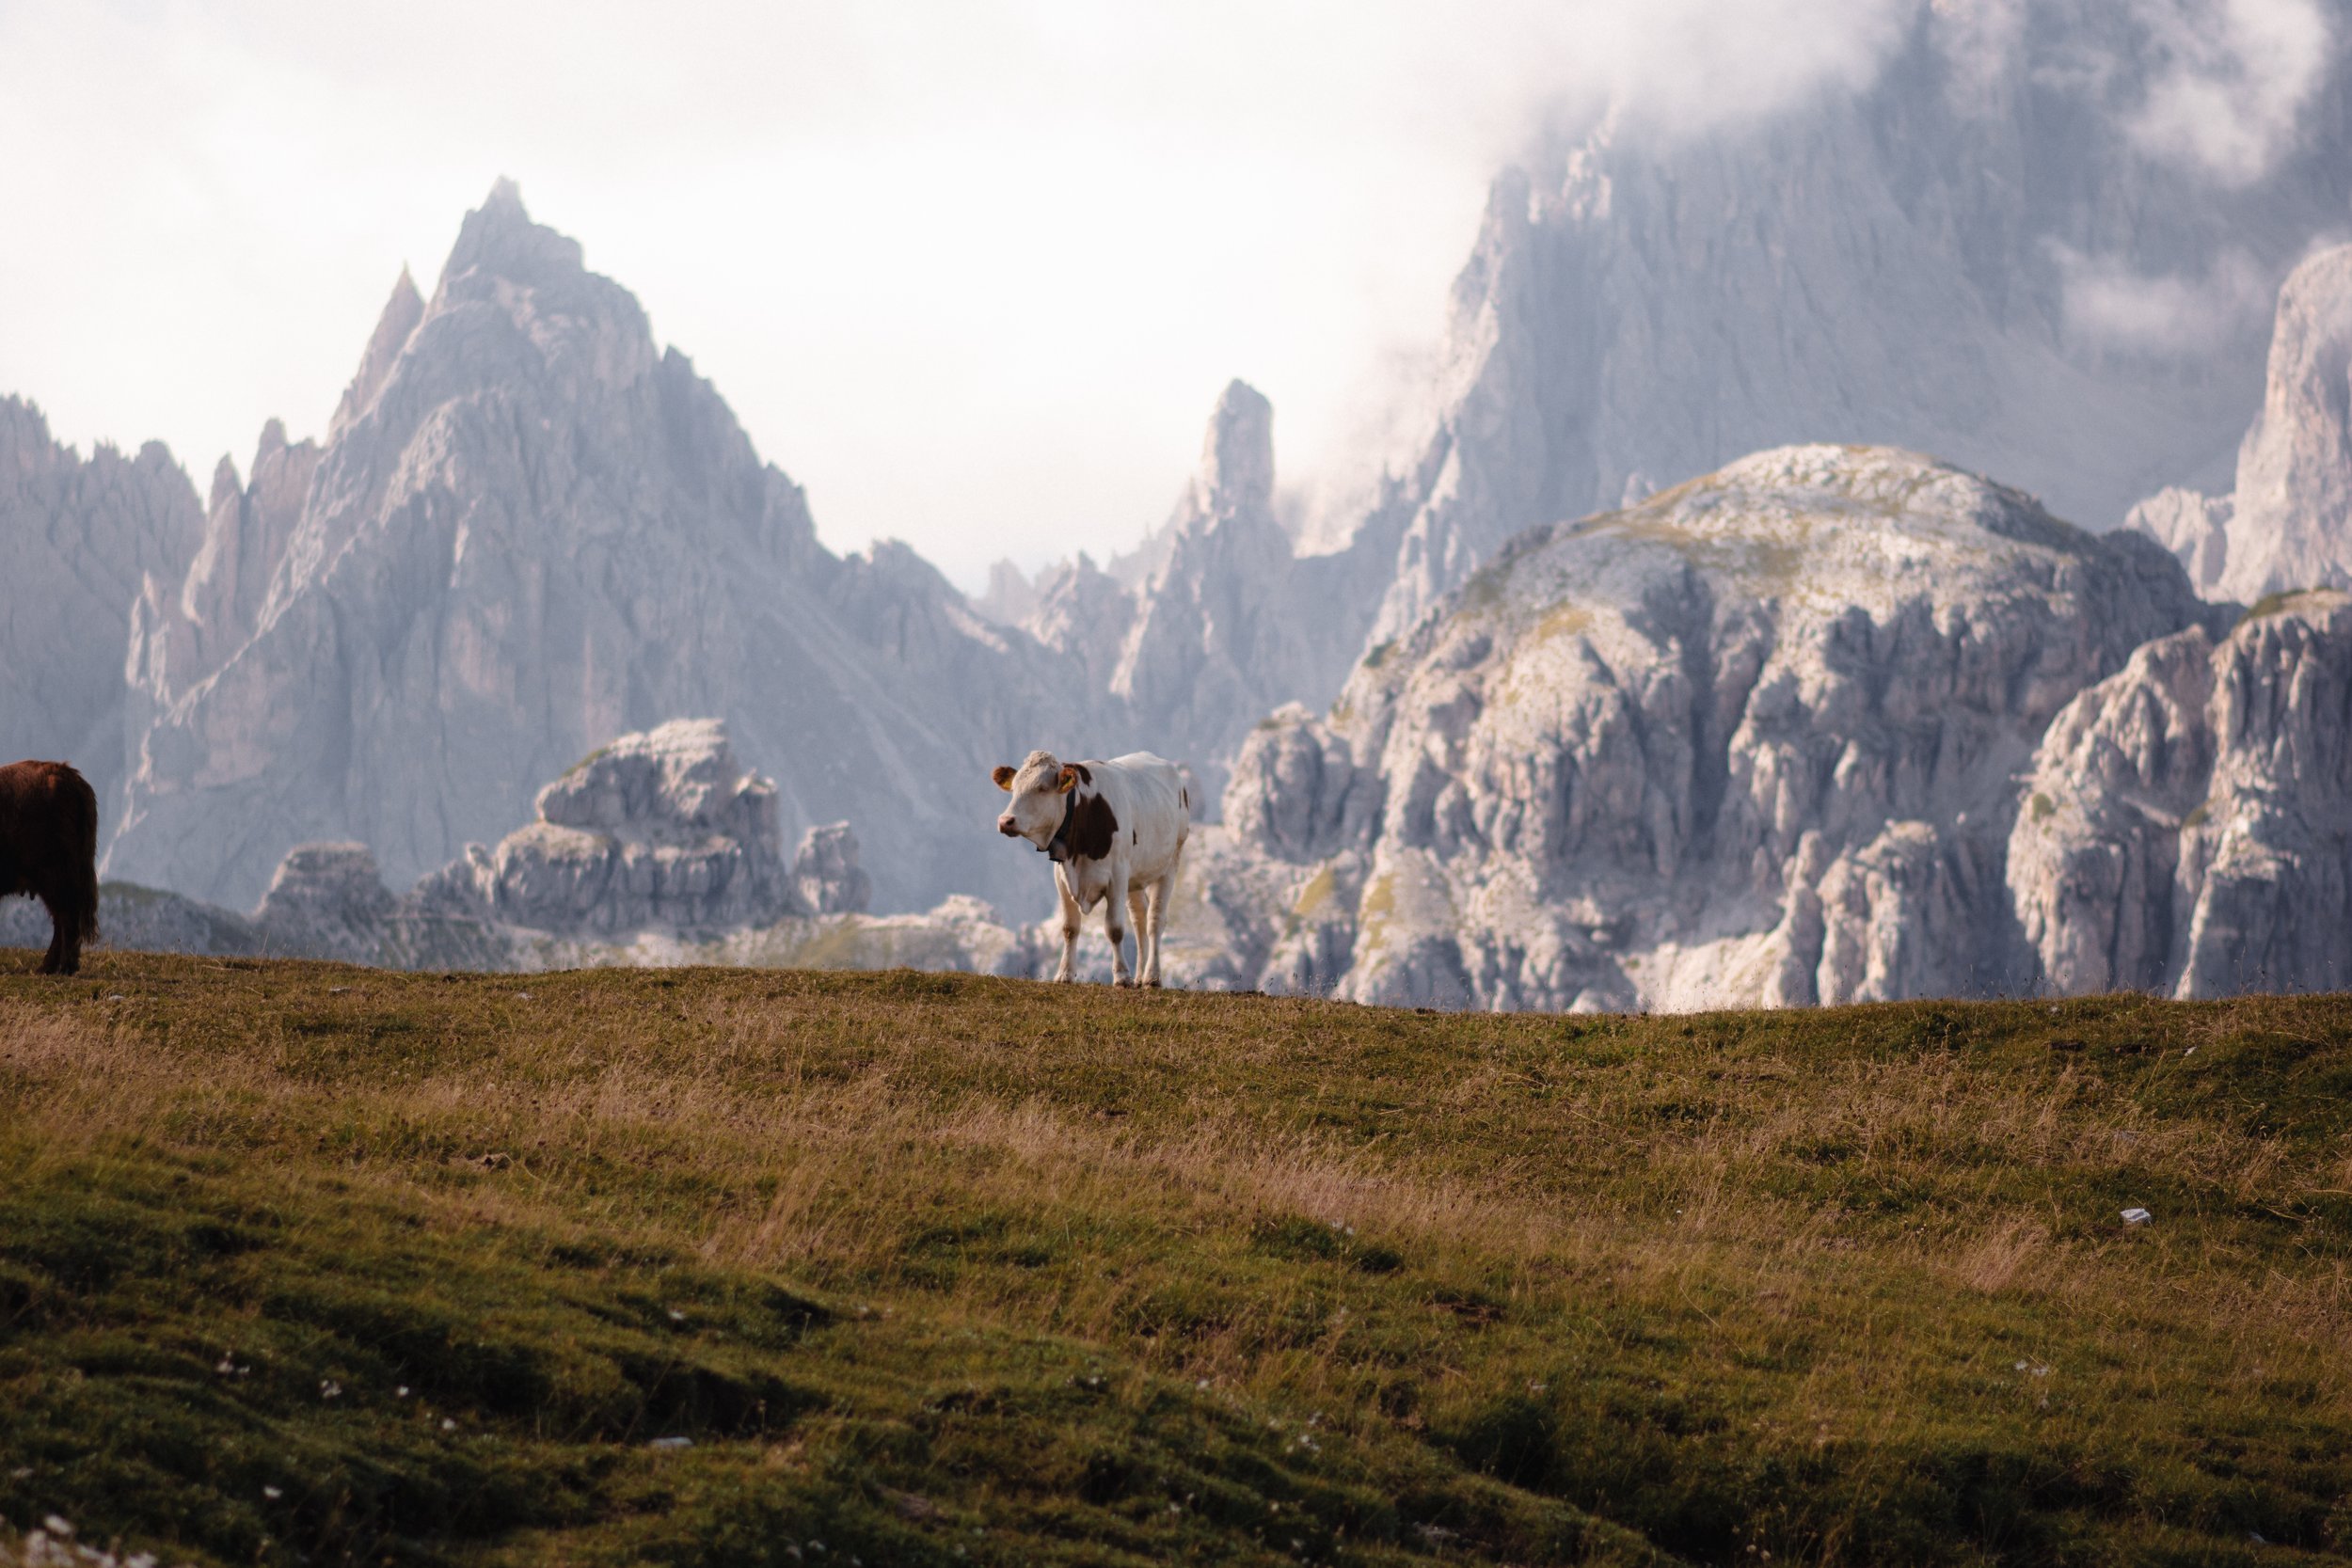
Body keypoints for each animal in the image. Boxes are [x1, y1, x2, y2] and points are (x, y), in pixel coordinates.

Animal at [993, 749, 1188, 987]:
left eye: (1042, 788)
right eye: (1014, 788)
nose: (1005, 821)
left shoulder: (1117, 876)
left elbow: (1114, 928)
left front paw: (1121, 976)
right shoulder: (1062, 877)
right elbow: (1070, 928)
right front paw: (1065, 974)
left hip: (1170, 863)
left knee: (1155, 920)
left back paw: (1152, 977)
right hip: (1135, 878)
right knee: (1139, 920)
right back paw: (1140, 977)